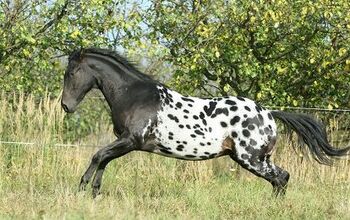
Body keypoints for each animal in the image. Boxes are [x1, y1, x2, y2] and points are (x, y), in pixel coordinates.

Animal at [61, 47, 348, 198]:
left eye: (71, 72)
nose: (66, 106)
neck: (134, 95)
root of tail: (269, 113)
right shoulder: (124, 141)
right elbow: (104, 160)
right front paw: (94, 192)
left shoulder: (131, 140)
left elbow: (99, 156)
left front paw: (82, 189)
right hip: (253, 158)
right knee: (282, 178)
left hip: (252, 158)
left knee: (281, 177)